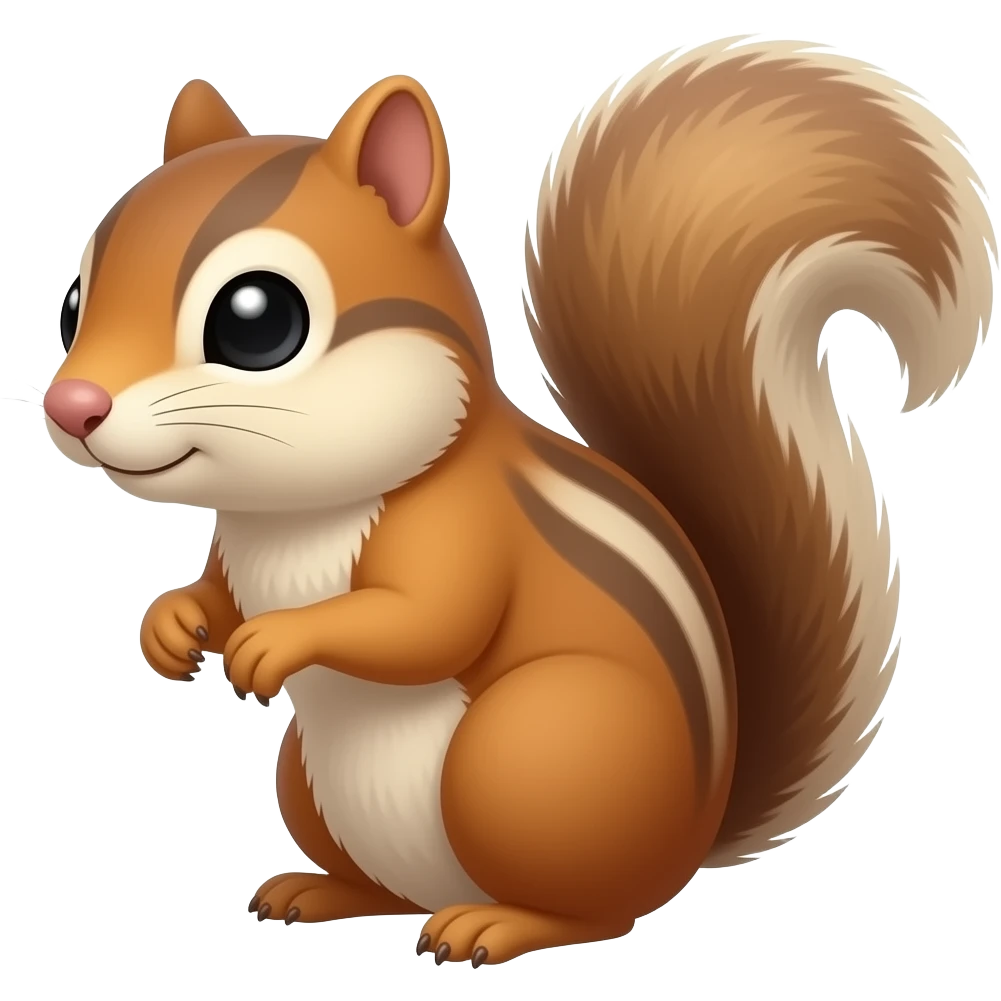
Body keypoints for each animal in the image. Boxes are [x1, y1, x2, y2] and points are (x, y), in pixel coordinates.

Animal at [44, 38, 996, 968]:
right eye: (71, 302)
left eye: (256, 319)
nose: (72, 406)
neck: (295, 513)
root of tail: (695, 833)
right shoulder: (235, 549)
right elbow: (216, 590)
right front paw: (172, 624)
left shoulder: (463, 531)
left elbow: (426, 622)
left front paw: (277, 639)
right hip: (309, 778)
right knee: (391, 890)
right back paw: (321, 892)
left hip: (529, 752)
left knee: (596, 909)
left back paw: (496, 926)